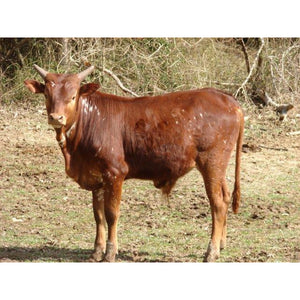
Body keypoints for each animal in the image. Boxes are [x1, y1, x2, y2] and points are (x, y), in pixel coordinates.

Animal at [25, 64, 244, 262]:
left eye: (72, 97)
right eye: (47, 95)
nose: (56, 117)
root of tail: (226, 98)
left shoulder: (114, 173)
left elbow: (111, 213)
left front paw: (110, 253)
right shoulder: (96, 177)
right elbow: (98, 215)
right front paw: (96, 252)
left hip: (212, 163)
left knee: (217, 203)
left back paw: (211, 251)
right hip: (218, 167)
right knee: (225, 197)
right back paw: (222, 244)